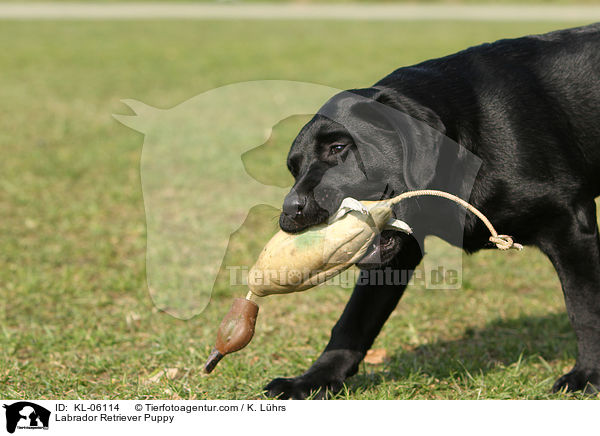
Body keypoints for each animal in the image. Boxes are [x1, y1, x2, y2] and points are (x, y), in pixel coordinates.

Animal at [264, 23, 600, 398]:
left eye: (338, 148)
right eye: (293, 168)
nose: (291, 210)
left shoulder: (571, 223)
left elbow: (585, 310)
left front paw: (587, 375)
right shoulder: (398, 252)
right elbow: (354, 320)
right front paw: (314, 379)